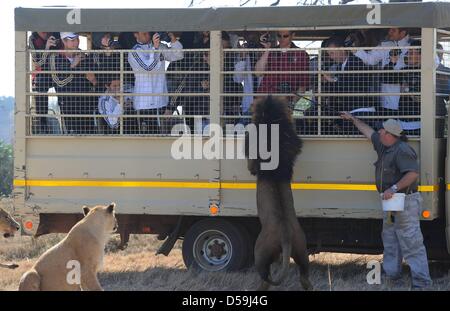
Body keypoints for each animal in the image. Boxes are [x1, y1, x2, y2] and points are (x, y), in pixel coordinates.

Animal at [246, 96, 312, 292]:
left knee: (265, 277)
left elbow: (252, 166)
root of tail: (286, 236)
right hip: (302, 250)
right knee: (305, 277)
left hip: (260, 252)